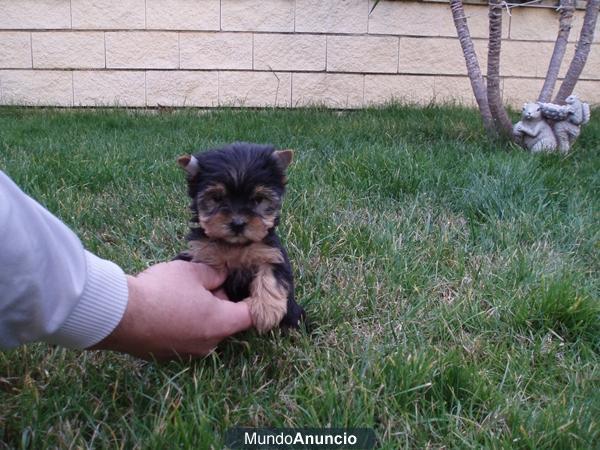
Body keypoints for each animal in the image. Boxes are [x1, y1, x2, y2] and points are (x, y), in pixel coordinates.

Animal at [173, 142, 304, 332]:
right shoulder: (199, 252)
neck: (234, 245)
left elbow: (272, 274)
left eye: (258, 199)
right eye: (217, 198)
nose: (237, 223)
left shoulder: (271, 252)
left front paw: (266, 310)